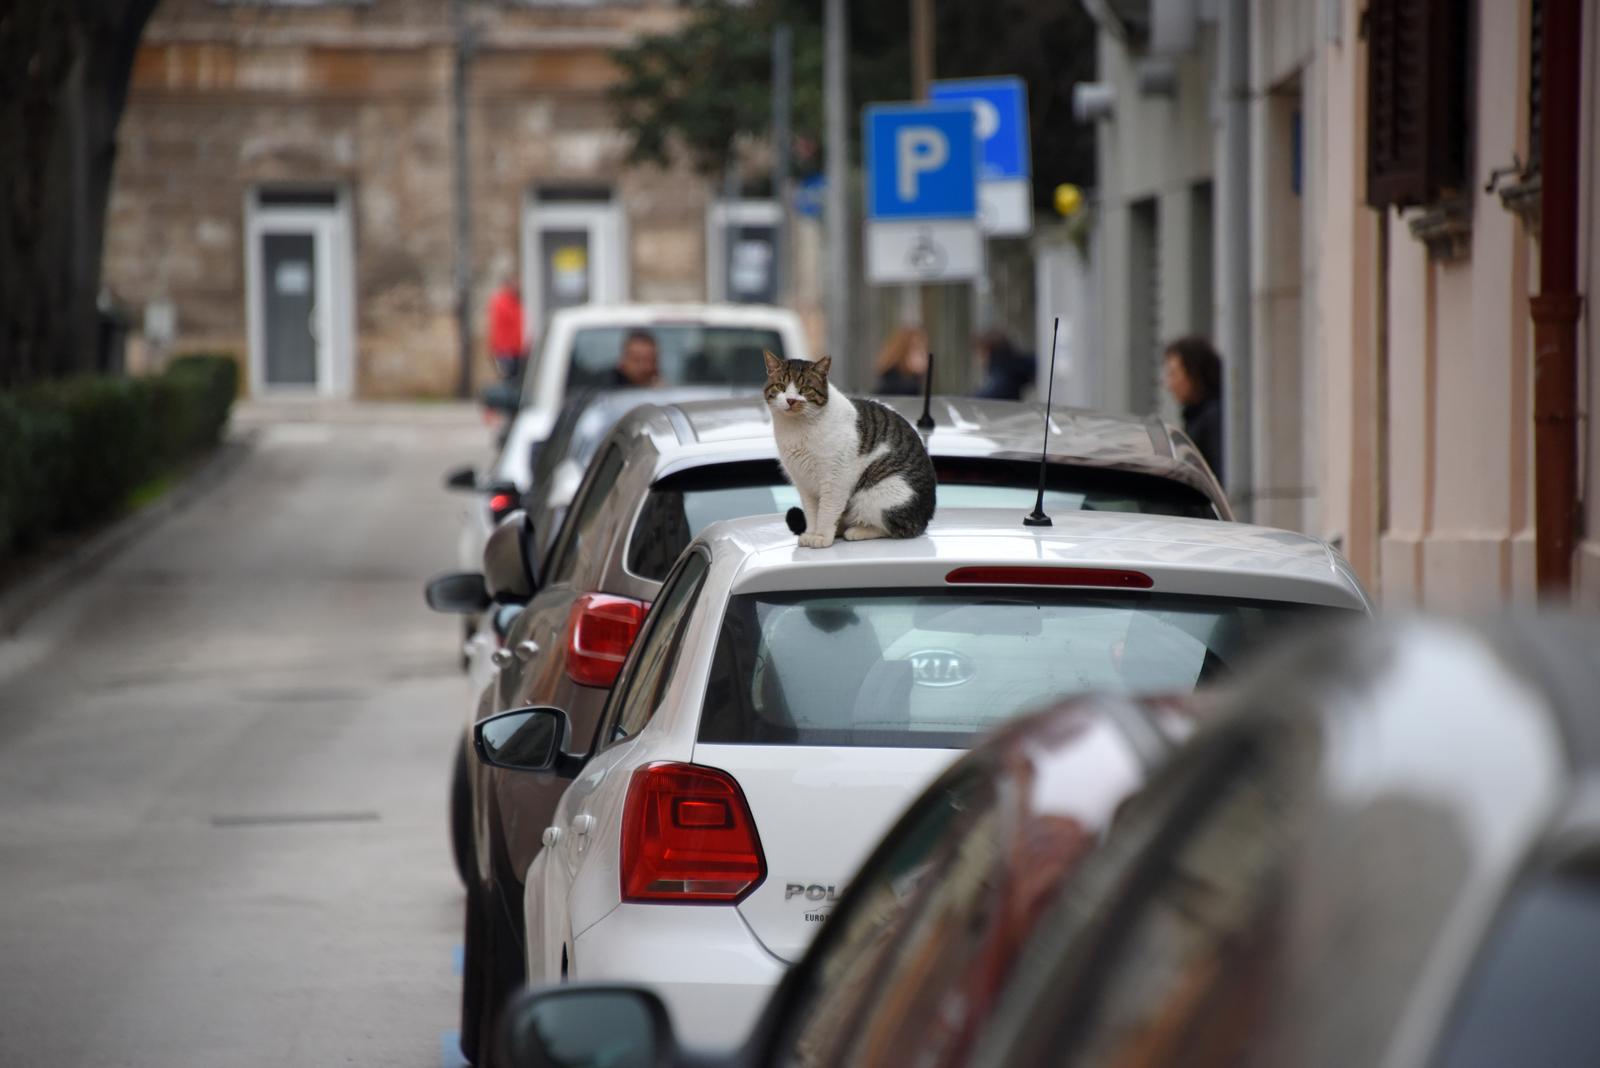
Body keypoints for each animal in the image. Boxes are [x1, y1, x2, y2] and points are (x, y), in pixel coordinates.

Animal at [761, 351, 934, 549]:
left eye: (804, 389)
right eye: (781, 386)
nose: (790, 400)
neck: (796, 429)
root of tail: (926, 516)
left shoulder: (835, 478)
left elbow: (827, 510)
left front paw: (822, 537)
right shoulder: (804, 483)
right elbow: (812, 512)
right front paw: (811, 533)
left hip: (879, 494)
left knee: (897, 528)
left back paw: (857, 531)